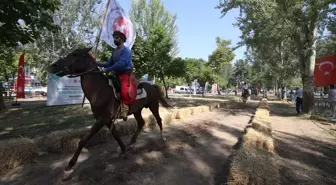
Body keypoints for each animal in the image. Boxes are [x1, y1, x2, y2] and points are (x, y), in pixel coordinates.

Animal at [48, 47, 171, 180]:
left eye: (75, 54)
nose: (54, 66)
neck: (99, 90)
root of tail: (151, 85)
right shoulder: (107, 120)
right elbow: (115, 134)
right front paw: (124, 150)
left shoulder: (102, 119)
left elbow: (84, 140)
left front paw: (69, 167)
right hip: (137, 111)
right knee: (141, 123)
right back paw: (132, 143)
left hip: (154, 106)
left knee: (158, 120)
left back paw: (163, 138)